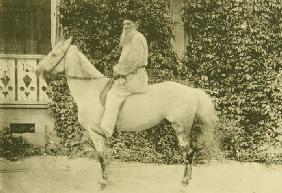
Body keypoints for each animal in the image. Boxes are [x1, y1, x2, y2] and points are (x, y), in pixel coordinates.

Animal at [35, 38, 218, 190]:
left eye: (54, 54)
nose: (37, 70)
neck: (90, 89)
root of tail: (191, 91)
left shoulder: (94, 132)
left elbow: (101, 156)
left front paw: (102, 183)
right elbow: (106, 156)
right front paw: (108, 179)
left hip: (181, 128)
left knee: (187, 152)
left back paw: (184, 181)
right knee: (190, 151)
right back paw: (188, 179)